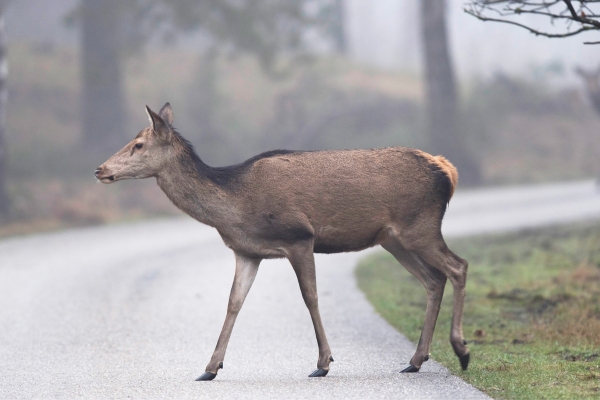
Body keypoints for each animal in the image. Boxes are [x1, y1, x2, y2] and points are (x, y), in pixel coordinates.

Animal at [95, 103, 468, 382]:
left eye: (138, 145)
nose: (100, 169)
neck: (235, 207)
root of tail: (448, 171)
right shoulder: (247, 252)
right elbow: (233, 302)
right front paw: (210, 368)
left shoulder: (299, 237)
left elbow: (310, 296)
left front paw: (323, 362)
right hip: (393, 239)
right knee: (434, 280)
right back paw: (416, 359)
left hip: (420, 227)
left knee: (458, 266)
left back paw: (461, 349)